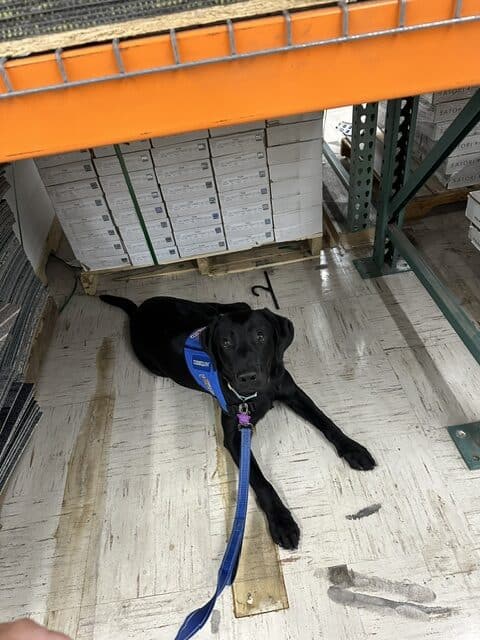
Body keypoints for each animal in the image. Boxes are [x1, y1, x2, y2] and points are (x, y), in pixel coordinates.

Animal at [99, 296, 376, 552]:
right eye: (226, 343)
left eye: (261, 336)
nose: (247, 377)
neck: (259, 394)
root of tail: (139, 310)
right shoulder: (234, 435)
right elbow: (260, 481)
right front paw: (281, 521)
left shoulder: (292, 391)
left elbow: (326, 421)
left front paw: (353, 449)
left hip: (195, 309)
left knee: (218, 306)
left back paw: (238, 304)